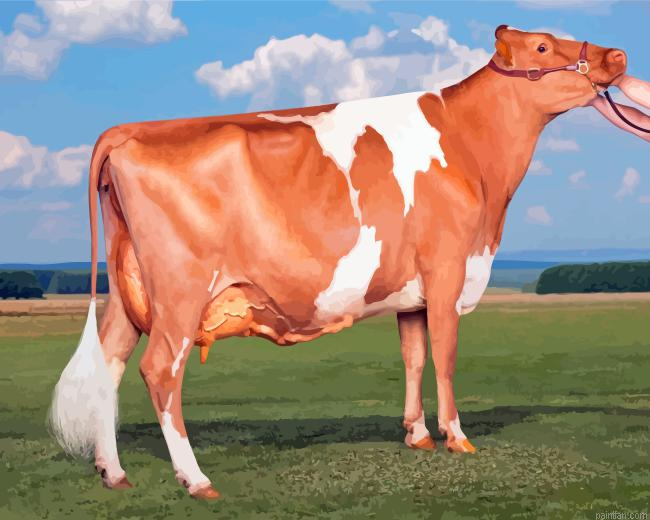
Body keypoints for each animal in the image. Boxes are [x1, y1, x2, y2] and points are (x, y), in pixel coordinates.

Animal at [49, 26, 632, 500]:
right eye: (543, 47)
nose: (619, 55)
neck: (474, 153)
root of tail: (132, 129)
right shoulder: (447, 272)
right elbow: (444, 356)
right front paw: (457, 437)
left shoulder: (412, 291)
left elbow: (413, 355)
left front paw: (418, 434)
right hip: (179, 291)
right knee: (159, 371)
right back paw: (196, 480)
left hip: (128, 289)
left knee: (110, 363)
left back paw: (113, 472)